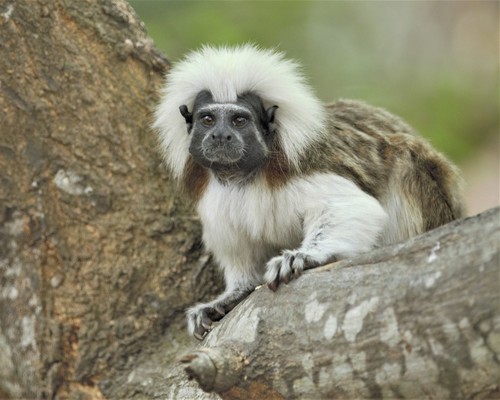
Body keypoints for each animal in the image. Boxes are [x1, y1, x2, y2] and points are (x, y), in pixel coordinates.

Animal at [152, 44, 464, 340]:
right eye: (207, 119)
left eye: (239, 121)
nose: (220, 136)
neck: (244, 177)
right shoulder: (215, 198)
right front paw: (229, 297)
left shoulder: (298, 171)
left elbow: (351, 206)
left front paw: (305, 256)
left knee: (404, 160)